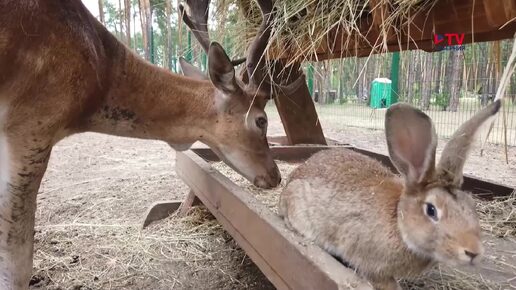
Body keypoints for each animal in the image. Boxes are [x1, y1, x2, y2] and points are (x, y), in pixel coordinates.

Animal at [278, 100, 500, 290]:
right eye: (431, 210)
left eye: (471, 205)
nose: (473, 252)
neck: (399, 223)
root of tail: (290, 183)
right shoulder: (369, 261)